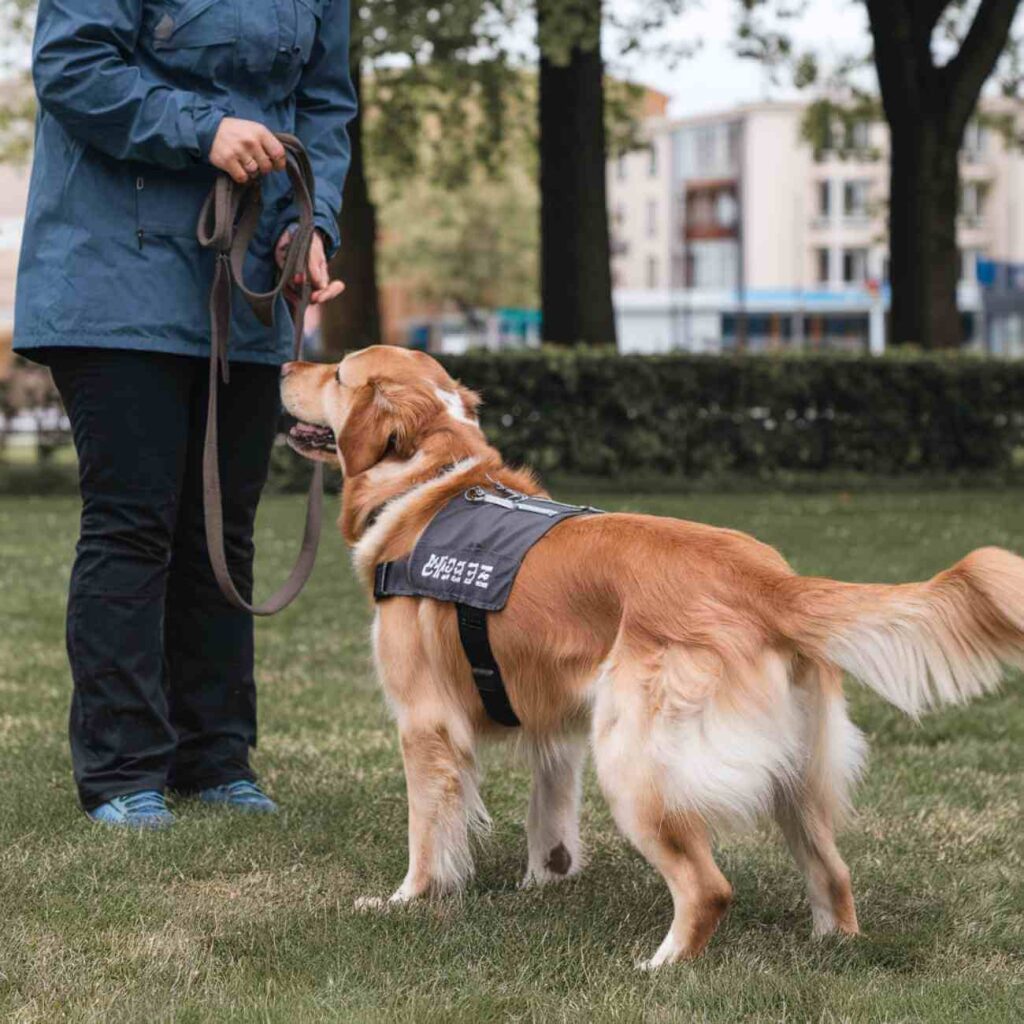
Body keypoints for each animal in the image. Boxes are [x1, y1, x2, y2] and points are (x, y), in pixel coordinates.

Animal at [280, 344, 1024, 966]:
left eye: (338, 373)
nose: (286, 364)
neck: (433, 480)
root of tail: (768, 581)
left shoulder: (425, 723)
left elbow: (428, 830)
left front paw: (409, 900)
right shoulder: (555, 725)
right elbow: (549, 821)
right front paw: (544, 885)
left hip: (636, 761)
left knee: (708, 886)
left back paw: (663, 966)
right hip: (795, 770)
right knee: (833, 872)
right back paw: (832, 945)